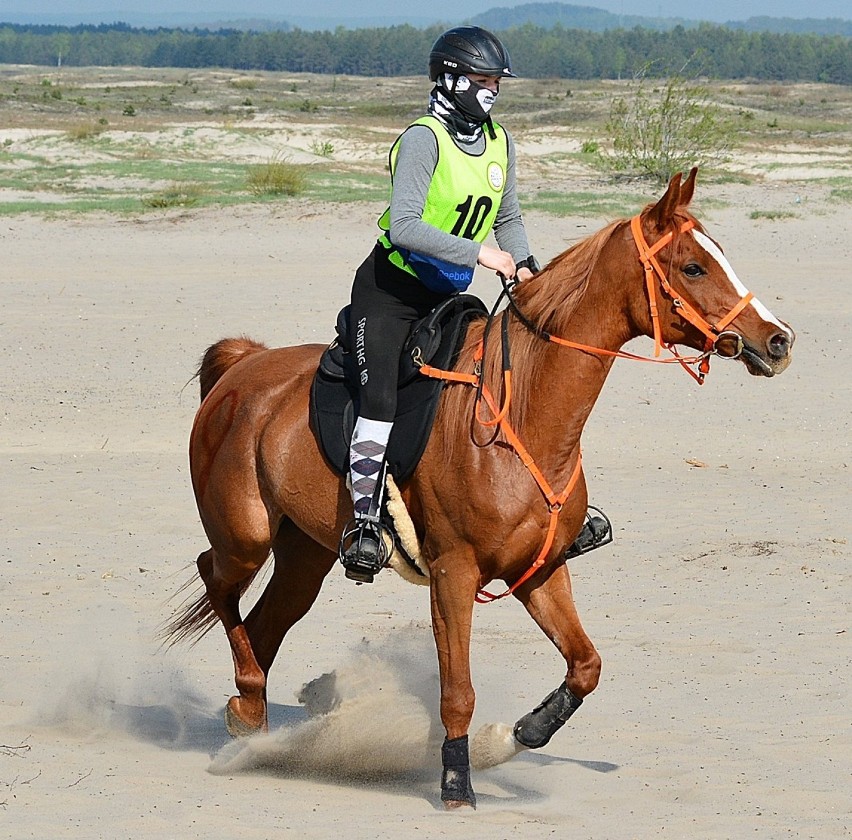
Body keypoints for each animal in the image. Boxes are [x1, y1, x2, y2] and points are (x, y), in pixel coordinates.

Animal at [166, 171, 792, 808]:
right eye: (693, 267)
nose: (777, 340)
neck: (523, 412)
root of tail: (245, 364)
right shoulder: (454, 573)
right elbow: (458, 693)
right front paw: (457, 784)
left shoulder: (540, 570)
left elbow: (586, 666)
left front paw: (520, 734)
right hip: (246, 536)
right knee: (215, 576)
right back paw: (249, 703)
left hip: (305, 556)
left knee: (264, 623)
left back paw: (251, 720)